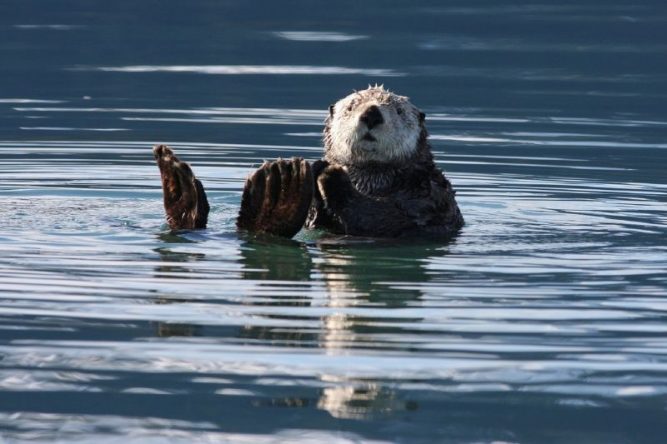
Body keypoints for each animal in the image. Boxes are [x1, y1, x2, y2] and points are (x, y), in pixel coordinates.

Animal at [153, 87, 462, 239]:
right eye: (352, 107)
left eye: (398, 110)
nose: (372, 113)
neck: (369, 179)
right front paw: (321, 167)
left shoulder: (430, 195)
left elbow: (389, 220)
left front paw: (332, 175)